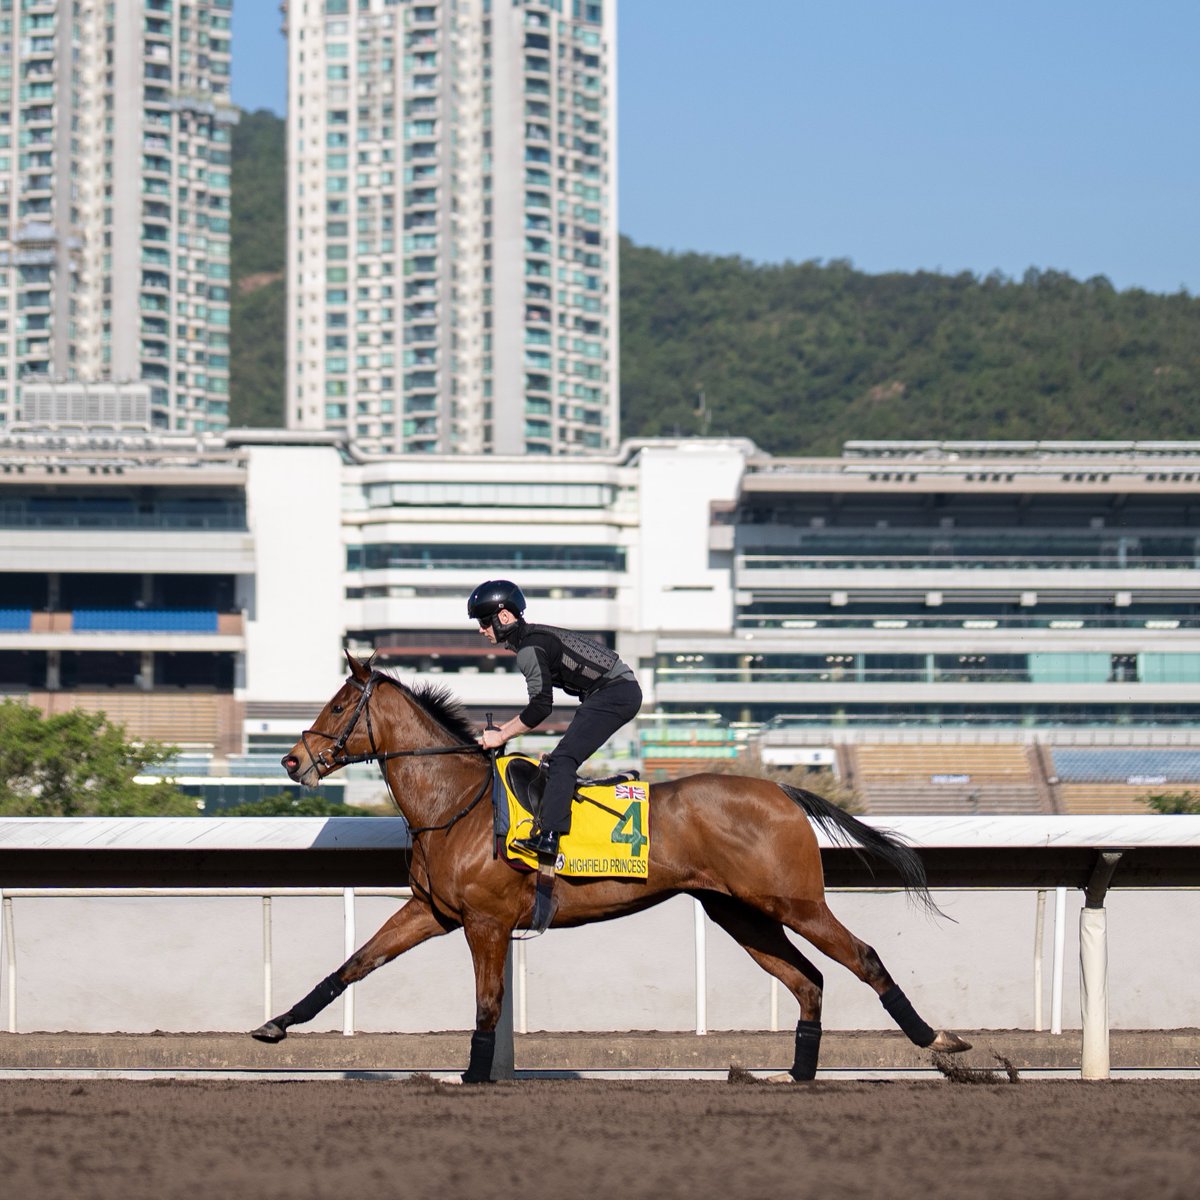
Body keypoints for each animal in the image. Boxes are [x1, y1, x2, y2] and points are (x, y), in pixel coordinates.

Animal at [248, 652, 969, 1084]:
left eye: (338, 706)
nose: (291, 760)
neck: (456, 803)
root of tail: (784, 792)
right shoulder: (433, 911)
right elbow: (352, 965)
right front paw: (275, 1025)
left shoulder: (485, 922)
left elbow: (487, 1004)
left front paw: (475, 1076)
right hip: (740, 913)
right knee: (808, 980)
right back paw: (796, 1075)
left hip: (795, 902)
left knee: (862, 957)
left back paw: (940, 1042)